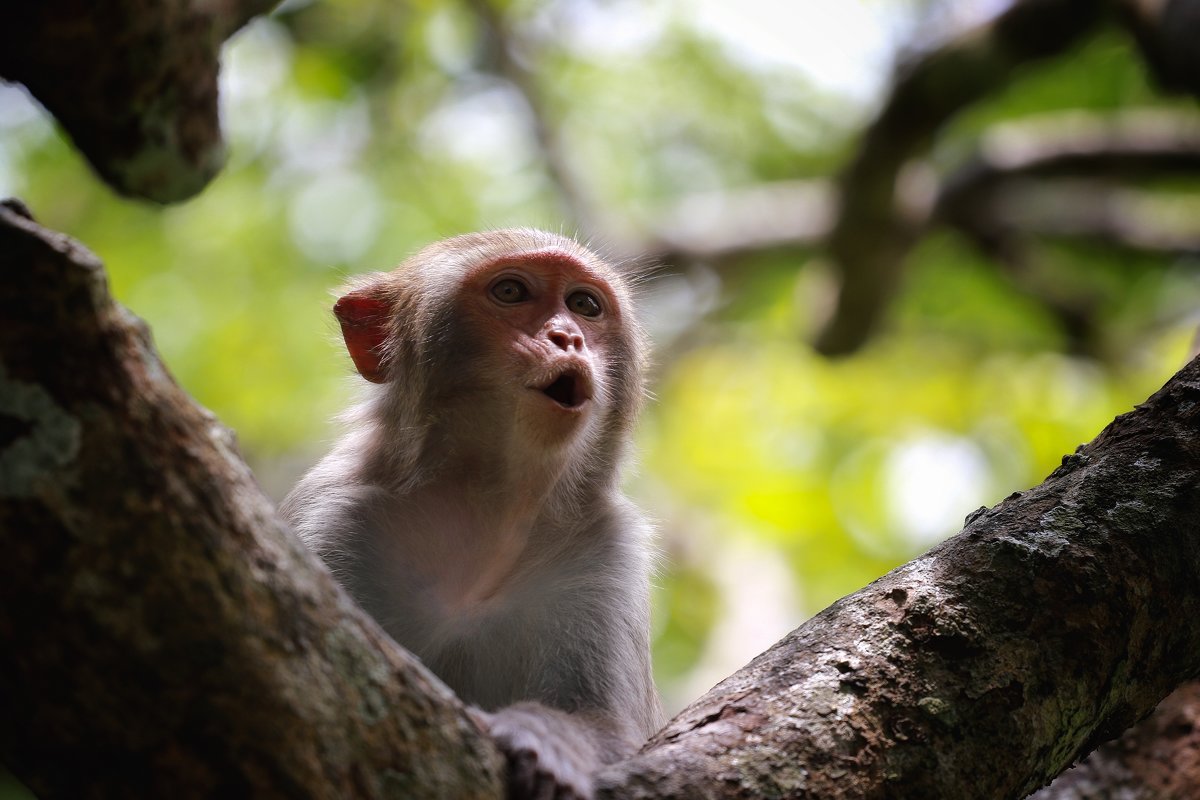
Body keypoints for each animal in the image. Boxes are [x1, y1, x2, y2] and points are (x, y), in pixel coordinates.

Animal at [279, 227, 662, 796]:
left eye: (584, 305)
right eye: (510, 292)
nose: (567, 337)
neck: (491, 511)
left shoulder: (607, 549)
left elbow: (613, 731)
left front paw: (546, 740)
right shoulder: (331, 515)